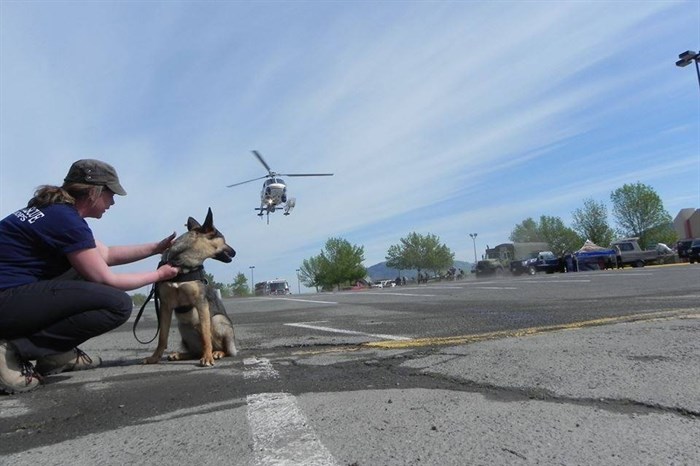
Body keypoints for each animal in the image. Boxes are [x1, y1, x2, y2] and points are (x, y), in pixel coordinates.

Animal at [144, 208, 238, 368]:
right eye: (224, 240)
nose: (235, 252)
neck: (181, 265)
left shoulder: (201, 304)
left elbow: (206, 336)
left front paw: (208, 358)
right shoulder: (165, 307)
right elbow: (162, 337)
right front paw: (154, 358)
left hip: (217, 320)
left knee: (223, 348)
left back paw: (216, 353)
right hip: (183, 327)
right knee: (195, 352)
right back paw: (180, 355)